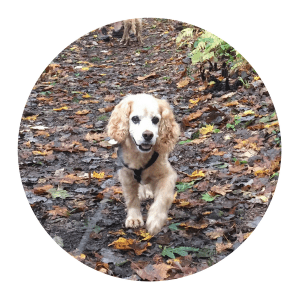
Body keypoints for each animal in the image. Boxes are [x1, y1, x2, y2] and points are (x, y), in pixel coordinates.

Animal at [106, 94, 179, 234]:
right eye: (134, 119)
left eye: (155, 120)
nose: (148, 135)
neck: (140, 156)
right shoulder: (126, 176)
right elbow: (131, 198)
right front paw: (134, 218)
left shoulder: (168, 175)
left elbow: (164, 197)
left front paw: (155, 220)